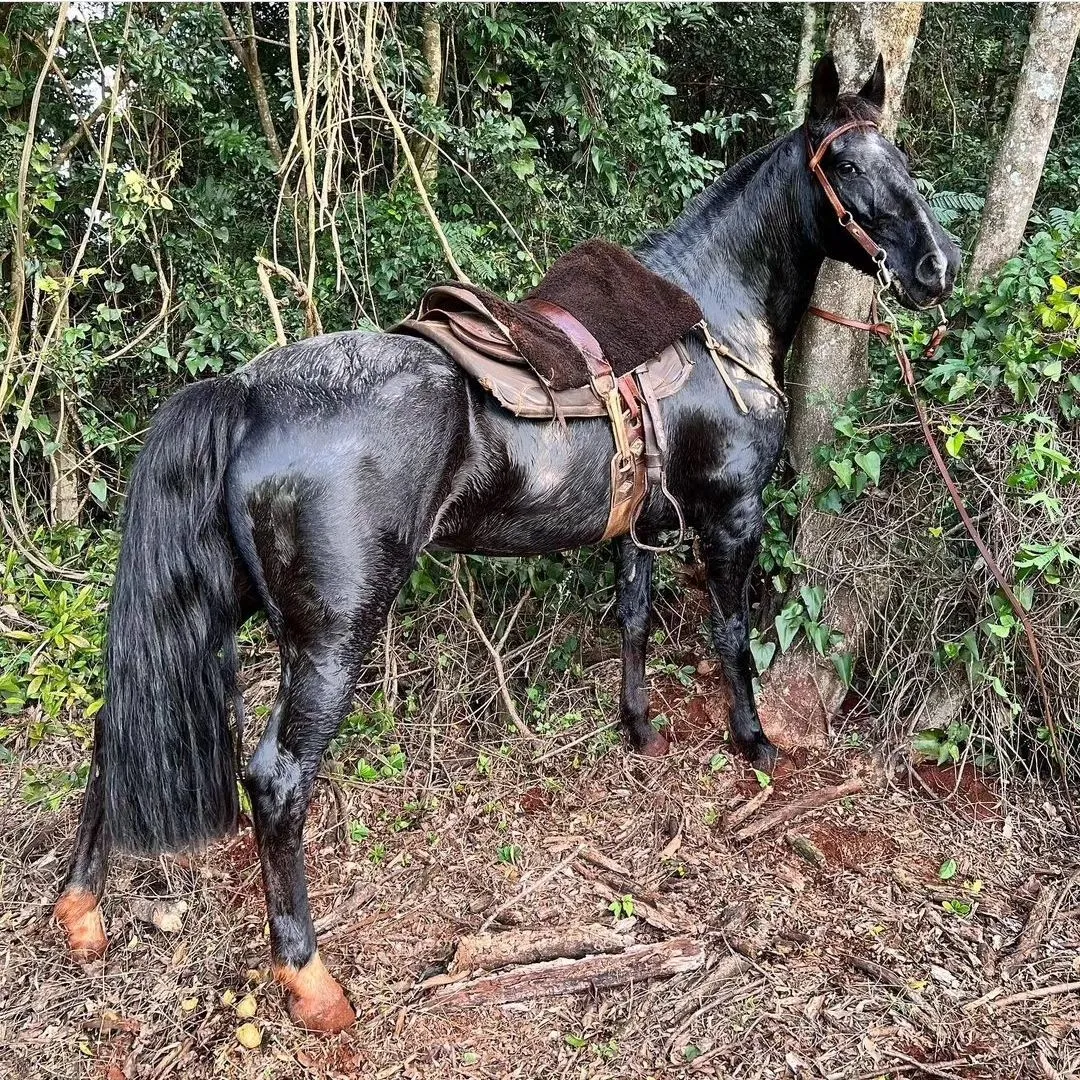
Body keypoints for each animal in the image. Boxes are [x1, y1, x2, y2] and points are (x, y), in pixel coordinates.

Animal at [54, 55, 960, 1032]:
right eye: (850, 165)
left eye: (904, 157)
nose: (937, 267)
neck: (716, 320)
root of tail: (246, 393)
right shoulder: (732, 512)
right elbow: (732, 635)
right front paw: (754, 744)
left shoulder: (638, 527)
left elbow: (634, 620)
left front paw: (639, 729)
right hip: (334, 634)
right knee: (277, 782)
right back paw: (309, 977)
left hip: (225, 606)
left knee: (115, 729)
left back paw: (82, 910)